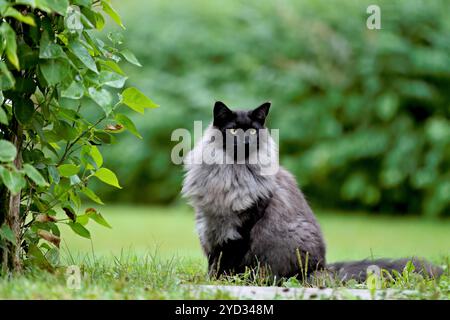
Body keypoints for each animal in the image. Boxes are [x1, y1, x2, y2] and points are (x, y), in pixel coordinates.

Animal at [182, 100, 442, 282]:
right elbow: (214, 261)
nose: (246, 142)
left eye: (253, 132)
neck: (232, 173)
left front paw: (225, 281)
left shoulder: (242, 227)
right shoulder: (211, 225)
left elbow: (228, 261)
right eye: (234, 131)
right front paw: (210, 280)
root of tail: (325, 267)